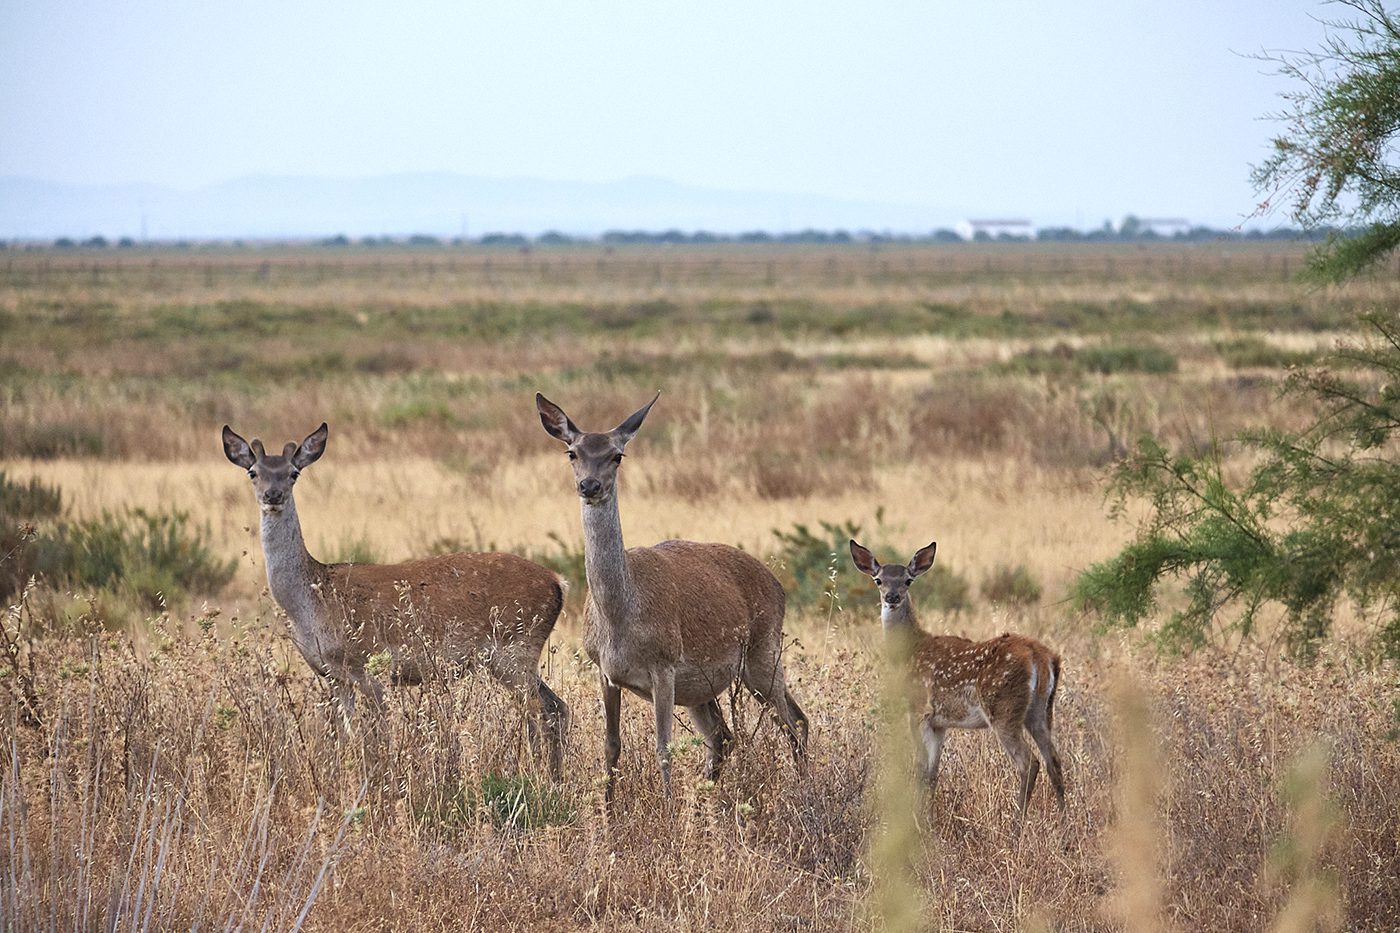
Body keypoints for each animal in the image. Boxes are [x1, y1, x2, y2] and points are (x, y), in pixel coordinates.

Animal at [222, 423, 568, 778]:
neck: (309, 603)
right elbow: (346, 735)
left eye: (293, 473)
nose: (273, 495)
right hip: (511, 659)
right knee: (556, 706)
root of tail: (558, 583)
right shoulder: (332, 675)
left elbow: (376, 736)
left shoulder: (365, 665)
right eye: (253, 472)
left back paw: (543, 777)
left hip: (516, 649)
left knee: (541, 708)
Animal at [534, 389, 812, 795]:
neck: (620, 620)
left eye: (617, 455)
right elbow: (611, 745)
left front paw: (667, 808)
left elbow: (663, 746)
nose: (590, 486)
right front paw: (609, 806)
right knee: (724, 735)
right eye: (572, 452)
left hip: (764, 653)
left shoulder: (663, 666)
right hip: (703, 687)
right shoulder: (604, 670)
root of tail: (778, 585)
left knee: (794, 721)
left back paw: (804, 789)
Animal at [845, 537, 1064, 823]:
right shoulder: (940, 723)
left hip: (1003, 708)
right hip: (1040, 711)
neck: (909, 651)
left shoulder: (918, 710)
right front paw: (927, 819)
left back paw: (1018, 824)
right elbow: (932, 774)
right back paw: (1065, 822)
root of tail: (1040, 656)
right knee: (1054, 761)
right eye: (878, 580)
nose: (892, 598)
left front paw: (916, 822)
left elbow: (920, 769)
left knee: (1029, 763)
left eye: (908, 580)